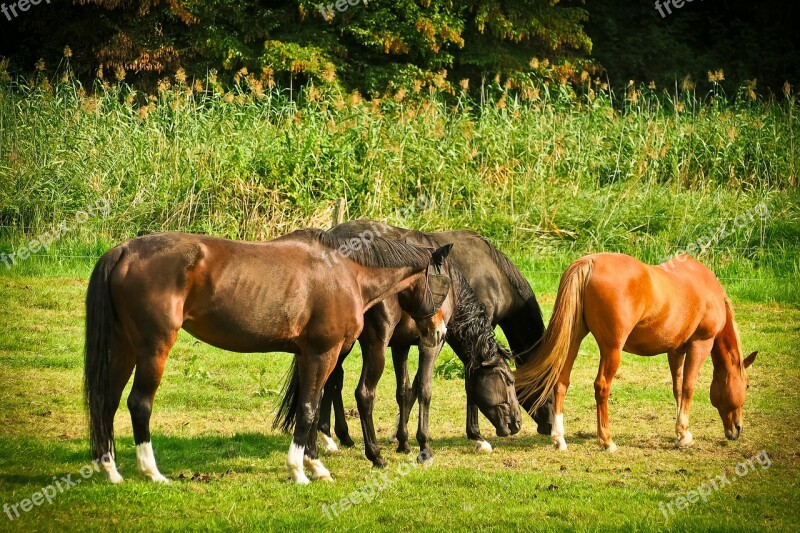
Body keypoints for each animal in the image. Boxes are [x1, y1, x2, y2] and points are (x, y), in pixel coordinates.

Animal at [86, 229, 456, 482]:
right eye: (444, 283)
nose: (439, 333)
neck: (347, 273)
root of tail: (123, 251)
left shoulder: (311, 355)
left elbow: (311, 407)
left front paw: (315, 464)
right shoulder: (323, 353)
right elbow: (308, 409)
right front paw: (300, 470)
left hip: (124, 347)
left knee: (107, 400)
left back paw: (111, 470)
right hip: (153, 349)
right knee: (139, 403)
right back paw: (152, 472)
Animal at [512, 251, 756, 450]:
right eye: (746, 385)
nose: (738, 429)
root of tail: (589, 262)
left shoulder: (675, 351)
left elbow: (677, 389)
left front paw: (680, 434)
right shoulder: (700, 344)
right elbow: (688, 388)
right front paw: (685, 435)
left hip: (573, 340)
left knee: (561, 381)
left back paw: (559, 439)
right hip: (612, 350)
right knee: (601, 386)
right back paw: (607, 441)